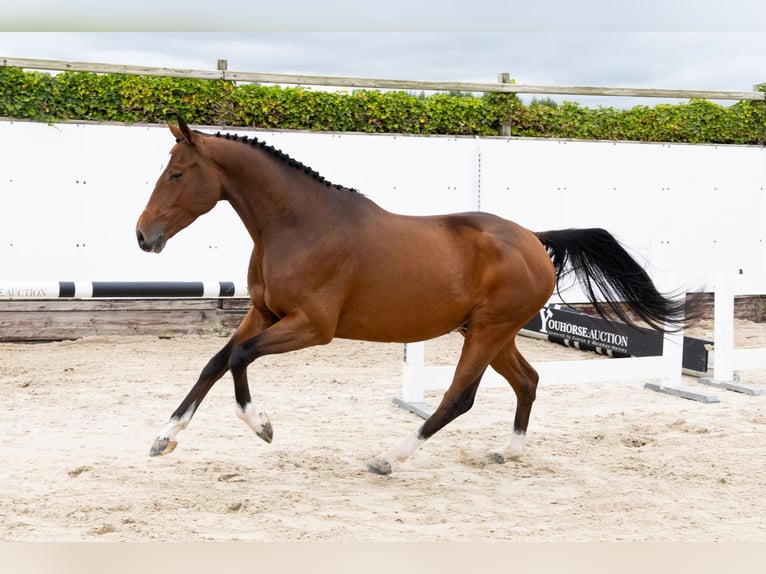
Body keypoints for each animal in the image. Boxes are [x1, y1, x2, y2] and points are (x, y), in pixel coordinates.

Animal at [136, 118, 690, 475]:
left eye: (177, 173)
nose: (144, 237)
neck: (299, 226)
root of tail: (533, 238)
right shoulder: (264, 312)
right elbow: (216, 362)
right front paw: (164, 438)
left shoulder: (312, 327)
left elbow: (240, 359)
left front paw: (262, 426)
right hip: (492, 332)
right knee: (528, 381)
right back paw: (507, 452)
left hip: (487, 331)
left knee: (459, 397)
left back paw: (389, 458)